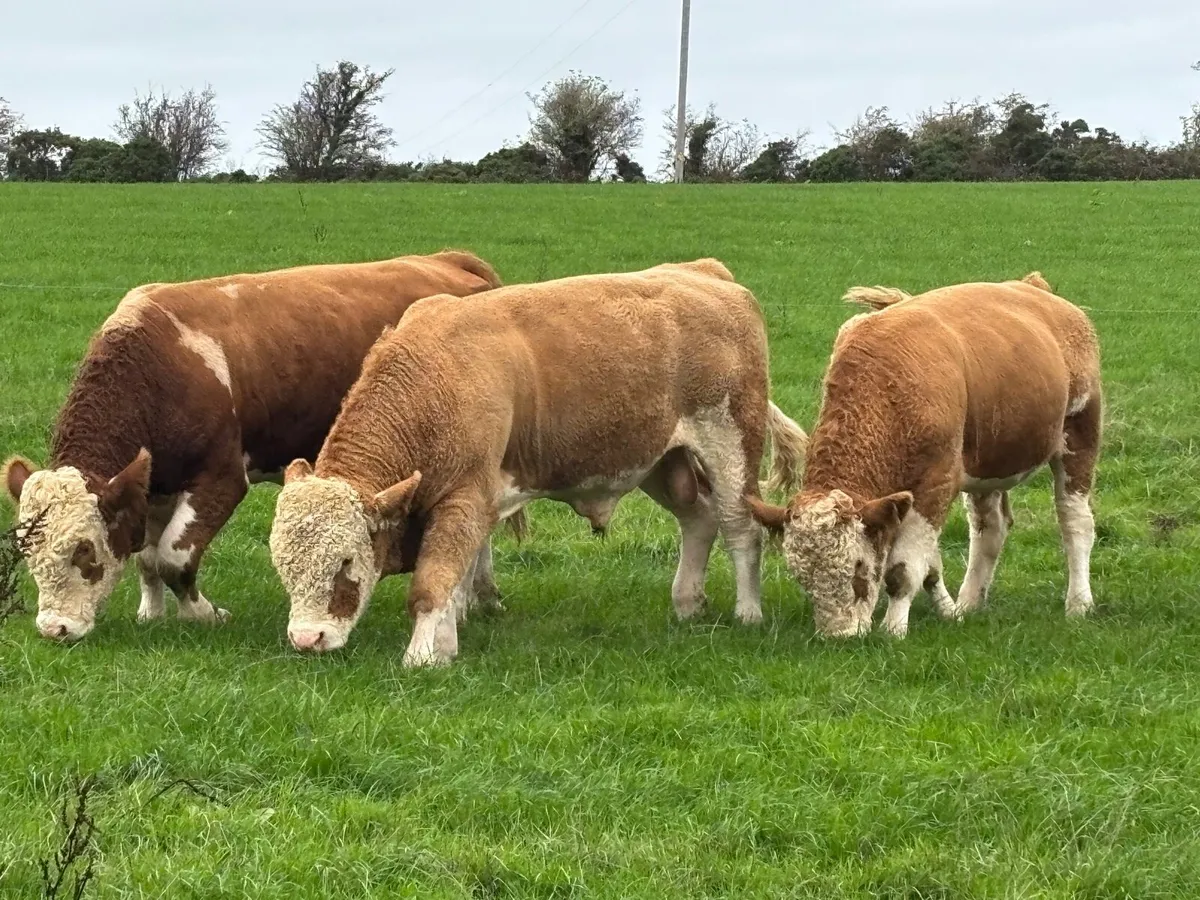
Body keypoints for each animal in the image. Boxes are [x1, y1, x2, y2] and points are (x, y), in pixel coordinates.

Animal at [3, 250, 509, 643]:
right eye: (26, 553)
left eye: (83, 551)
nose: (54, 629)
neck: (158, 368)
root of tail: (451, 259)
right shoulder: (150, 482)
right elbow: (145, 556)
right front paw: (151, 613)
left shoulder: (222, 478)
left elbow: (171, 557)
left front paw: (203, 614)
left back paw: (478, 596)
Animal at [268, 258, 809, 666]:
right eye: (282, 564)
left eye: (345, 561)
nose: (307, 639)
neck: (435, 377)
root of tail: (703, 271)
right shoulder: (473, 503)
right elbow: (458, 575)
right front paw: (447, 641)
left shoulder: (464, 498)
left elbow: (434, 581)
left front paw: (421, 656)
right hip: (658, 459)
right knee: (698, 519)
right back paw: (687, 602)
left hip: (729, 443)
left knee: (740, 528)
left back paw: (748, 612)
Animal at [745, 272, 1102, 639]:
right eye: (801, 577)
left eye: (858, 568)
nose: (839, 636)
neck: (887, 389)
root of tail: (1033, 286)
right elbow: (930, 563)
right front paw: (948, 611)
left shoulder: (935, 485)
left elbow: (902, 571)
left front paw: (893, 629)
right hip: (986, 464)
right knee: (990, 528)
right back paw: (970, 603)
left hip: (1080, 430)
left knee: (1075, 521)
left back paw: (1079, 603)